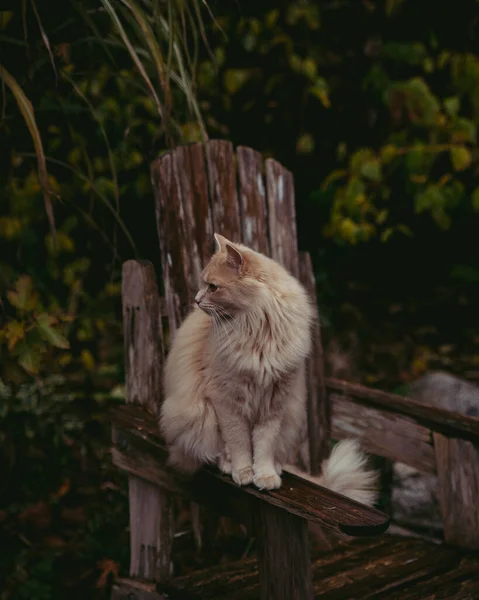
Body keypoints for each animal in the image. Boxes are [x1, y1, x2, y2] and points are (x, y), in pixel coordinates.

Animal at [161, 232, 378, 504]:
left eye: (213, 287)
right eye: (204, 285)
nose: (197, 300)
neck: (257, 329)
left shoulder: (274, 402)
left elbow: (264, 446)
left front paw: (264, 476)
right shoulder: (227, 401)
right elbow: (239, 442)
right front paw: (243, 472)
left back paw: (275, 468)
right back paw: (227, 464)